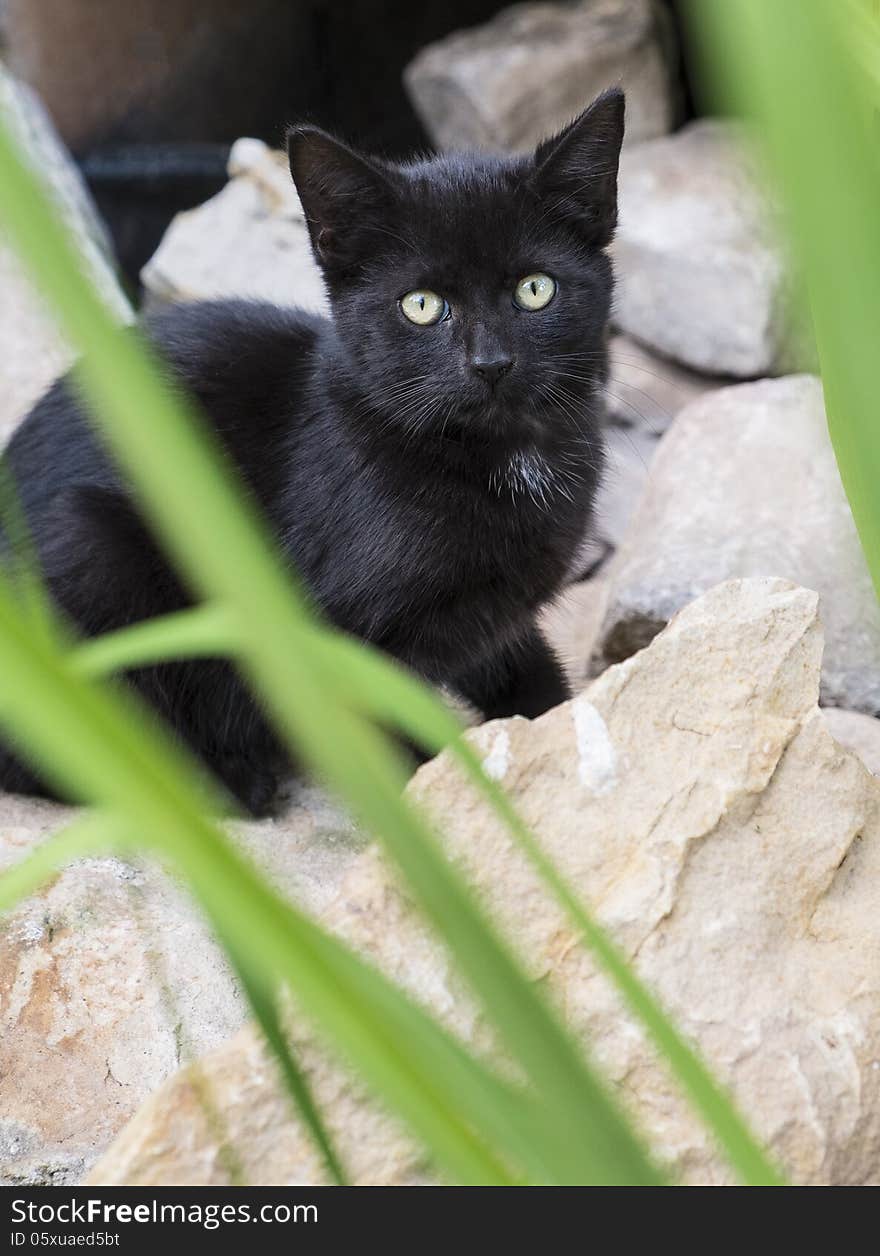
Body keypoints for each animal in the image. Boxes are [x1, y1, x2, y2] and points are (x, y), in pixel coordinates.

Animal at [0, 88, 625, 813]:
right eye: (420, 305)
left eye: (535, 289)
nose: (490, 363)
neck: (499, 457)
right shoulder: (339, 641)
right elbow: (396, 739)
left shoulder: (496, 614)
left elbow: (525, 673)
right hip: (91, 542)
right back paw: (231, 780)